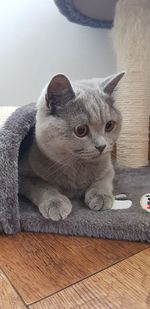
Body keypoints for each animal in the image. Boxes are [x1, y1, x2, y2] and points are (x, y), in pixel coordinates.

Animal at [19, 72, 124, 220]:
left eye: (109, 125)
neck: (77, 167)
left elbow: (103, 180)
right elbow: (41, 185)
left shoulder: (108, 168)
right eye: (81, 130)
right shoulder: (22, 177)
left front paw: (101, 196)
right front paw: (55, 203)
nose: (102, 146)